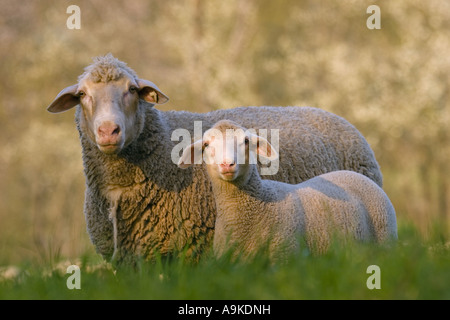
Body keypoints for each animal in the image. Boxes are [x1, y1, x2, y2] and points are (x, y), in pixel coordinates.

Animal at [179, 120, 398, 260]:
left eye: (246, 141)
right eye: (207, 144)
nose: (227, 164)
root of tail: (356, 175)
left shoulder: (284, 258)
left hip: (385, 240)